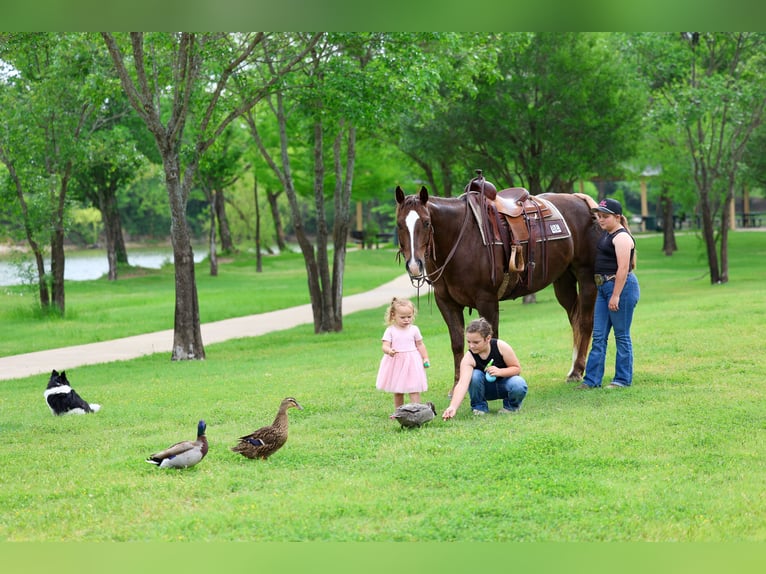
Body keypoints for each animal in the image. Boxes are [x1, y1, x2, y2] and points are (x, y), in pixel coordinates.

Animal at [395, 174, 601, 390]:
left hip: (586, 276)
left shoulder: (487, 300)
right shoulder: (446, 302)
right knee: (574, 319)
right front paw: (458, 386)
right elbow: (457, 343)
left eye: (426, 223)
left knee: (585, 322)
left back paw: (577, 371)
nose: (414, 265)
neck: (460, 238)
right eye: (399, 224)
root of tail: (580, 200)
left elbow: (492, 341)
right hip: (563, 280)